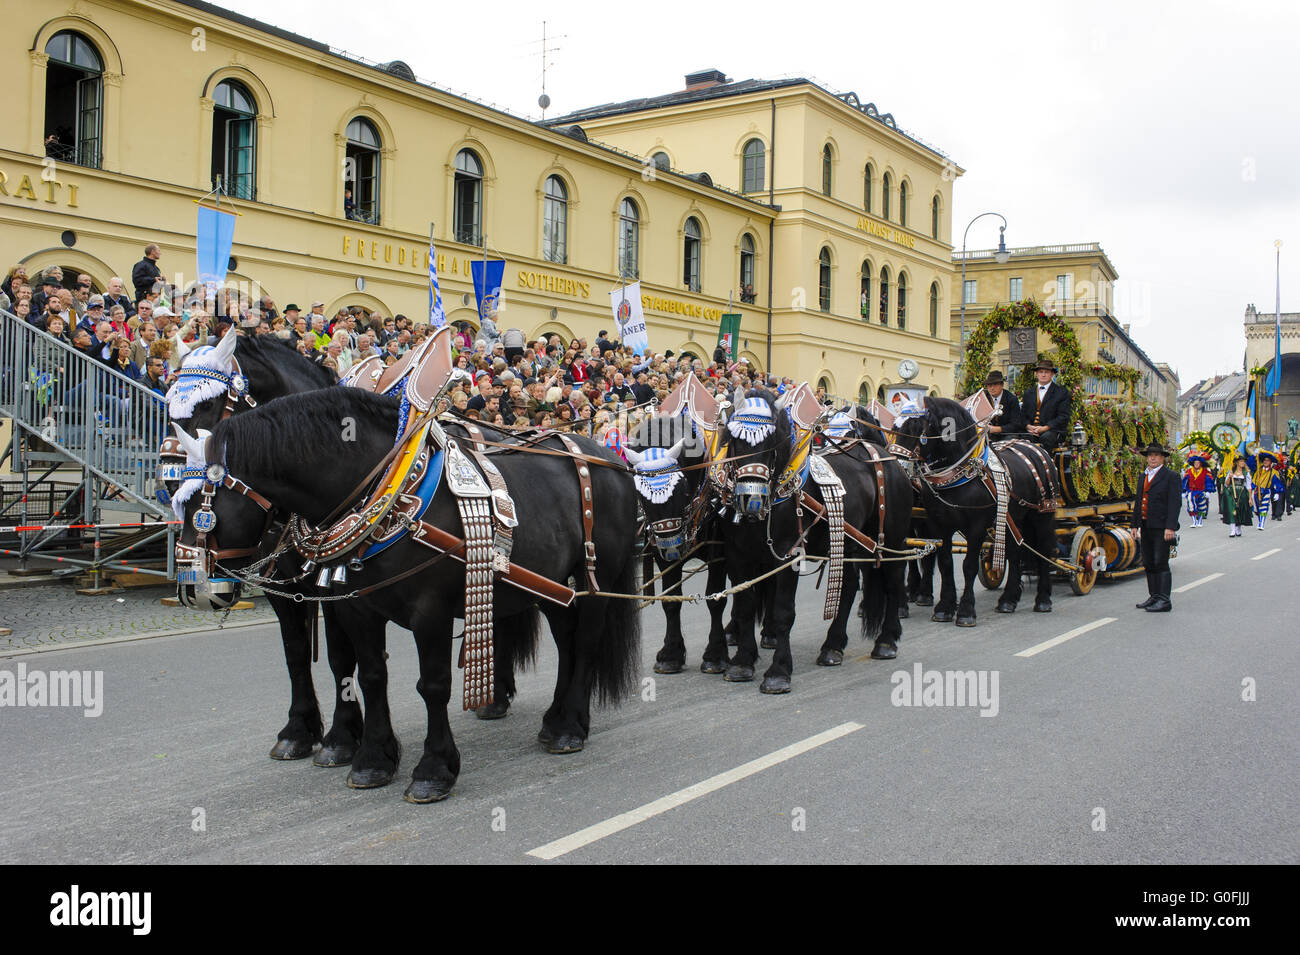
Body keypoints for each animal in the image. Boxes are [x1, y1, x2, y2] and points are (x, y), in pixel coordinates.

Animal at [172, 384, 639, 805]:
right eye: (175, 497)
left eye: (203, 506)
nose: (191, 590)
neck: (389, 493)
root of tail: (608, 457)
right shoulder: (355, 608)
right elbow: (367, 675)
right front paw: (372, 758)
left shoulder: (429, 611)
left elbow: (432, 684)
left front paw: (434, 770)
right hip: (552, 585)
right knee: (567, 644)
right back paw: (558, 719)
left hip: (595, 579)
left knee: (585, 643)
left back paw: (569, 727)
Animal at [899, 397, 1060, 628]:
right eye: (897, 426)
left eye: (918, 428)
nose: (898, 465)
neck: (957, 478)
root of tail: (1036, 448)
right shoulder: (940, 526)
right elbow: (945, 563)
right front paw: (944, 608)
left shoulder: (976, 527)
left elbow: (968, 566)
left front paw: (966, 611)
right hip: (1013, 519)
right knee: (1014, 552)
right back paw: (1008, 600)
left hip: (1042, 516)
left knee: (1044, 552)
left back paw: (1043, 600)